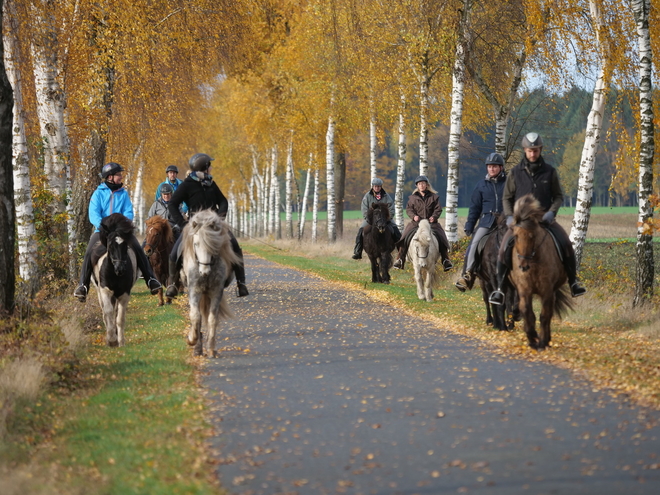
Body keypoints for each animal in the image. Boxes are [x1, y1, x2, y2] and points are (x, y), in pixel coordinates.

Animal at [90, 214, 138, 348]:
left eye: (125, 246)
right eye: (110, 245)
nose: (120, 269)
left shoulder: (124, 293)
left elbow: (119, 318)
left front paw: (120, 341)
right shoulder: (105, 291)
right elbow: (108, 312)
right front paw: (111, 340)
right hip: (99, 292)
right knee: (105, 312)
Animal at [180, 209, 240, 356]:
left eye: (214, 245)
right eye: (196, 244)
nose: (204, 271)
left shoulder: (216, 292)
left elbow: (212, 319)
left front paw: (211, 349)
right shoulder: (194, 291)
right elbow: (195, 317)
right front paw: (191, 339)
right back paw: (197, 348)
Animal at [510, 196, 572, 350]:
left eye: (532, 236)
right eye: (516, 236)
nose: (523, 266)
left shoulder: (547, 290)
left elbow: (544, 315)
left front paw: (542, 342)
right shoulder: (524, 288)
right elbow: (527, 312)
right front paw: (532, 337)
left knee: (548, 313)